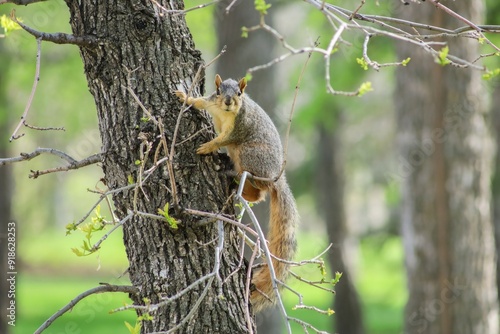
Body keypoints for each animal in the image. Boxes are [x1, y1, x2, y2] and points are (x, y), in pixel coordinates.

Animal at [175, 74, 296, 312]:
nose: (229, 101)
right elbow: (199, 102)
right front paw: (185, 97)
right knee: (258, 194)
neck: (225, 113)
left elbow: (223, 139)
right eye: (218, 91)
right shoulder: (210, 104)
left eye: (240, 93)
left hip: (248, 154)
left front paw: (208, 146)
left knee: (260, 190)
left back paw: (234, 175)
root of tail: (275, 177)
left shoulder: (239, 127)